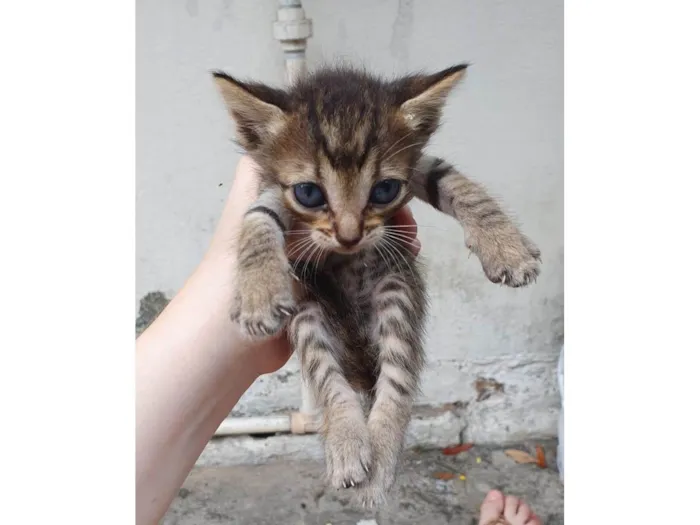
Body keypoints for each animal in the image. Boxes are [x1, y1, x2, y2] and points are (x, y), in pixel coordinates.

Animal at [211, 63, 540, 506]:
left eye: (384, 190)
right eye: (309, 193)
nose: (349, 237)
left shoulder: (418, 167)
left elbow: (455, 181)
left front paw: (506, 246)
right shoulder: (270, 187)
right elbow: (258, 216)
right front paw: (257, 292)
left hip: (395, 286)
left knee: (396, 377)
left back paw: (380, 456)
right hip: (308, 307)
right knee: (327, 374)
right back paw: (348, 443)